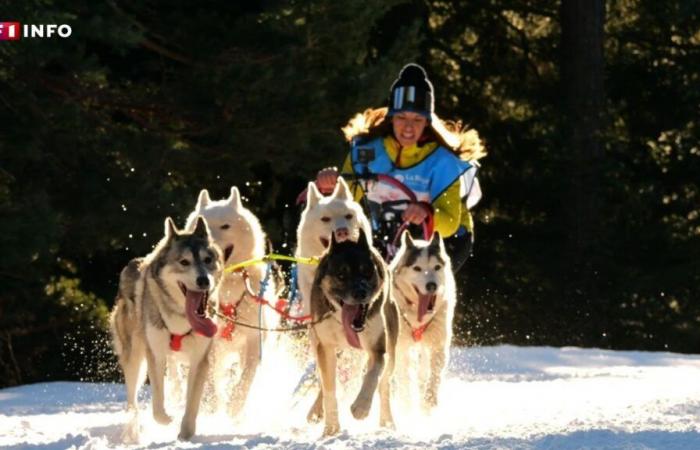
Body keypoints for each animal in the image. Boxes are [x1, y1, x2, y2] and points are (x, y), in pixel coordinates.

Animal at [109, 216, 221, 442]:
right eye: (184, 262)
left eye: (207, 259)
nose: (203, 280)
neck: (181, 318)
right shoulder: (155, 355)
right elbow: (157, 404)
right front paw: (167, 420)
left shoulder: (199, 360)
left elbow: (192, 404)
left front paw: (186, 435)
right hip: (135, 359)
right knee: (132, 401)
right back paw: (132, 432)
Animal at [185, 187, 278, 418]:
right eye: (201, 224)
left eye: (225, 226)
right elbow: (209, 381)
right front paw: (214, 406)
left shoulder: (254, 339)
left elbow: (246, 377)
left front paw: (235, 405)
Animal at [308, 229, 400, 436]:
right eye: (341, 275)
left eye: (366, 271)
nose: (360, 293)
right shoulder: (325, 347)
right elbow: (329, 389)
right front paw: (331, 429)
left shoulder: (377, 348)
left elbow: (373, 375)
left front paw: (361, 407)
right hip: (317, 345)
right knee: (323, 381)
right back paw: (316, 410)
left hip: (391, 350)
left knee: (384, 384)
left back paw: (387, 422)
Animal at [392, 232, 456, 412]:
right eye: (417, 268)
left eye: (436, 267)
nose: (432, 285)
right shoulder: (401, 347)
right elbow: (405, 378)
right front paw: (407, 405)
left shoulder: (438, 345)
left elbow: (433, 376)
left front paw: (429, 401)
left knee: (423, 373)